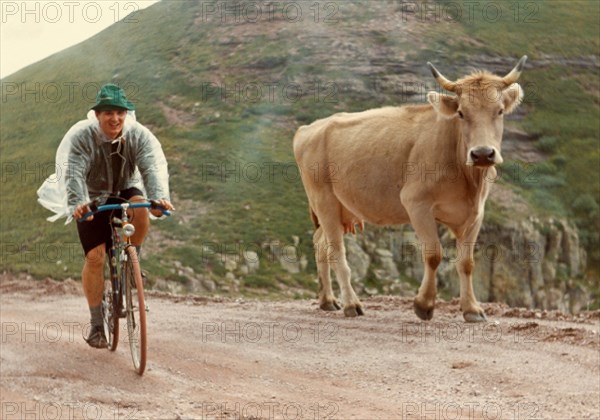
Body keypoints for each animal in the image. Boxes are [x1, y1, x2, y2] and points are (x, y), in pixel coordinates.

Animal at [294, 54, 524, 320]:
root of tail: (309, 128)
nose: (483, 154)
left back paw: (328, 300)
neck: (467, 180)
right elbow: (433, 254)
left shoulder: (476, 213)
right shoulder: (416, 203)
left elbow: (466, 263)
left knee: (320, 244)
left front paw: (472, 309)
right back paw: (351, 304)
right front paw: (424, 305)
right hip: (324, 201)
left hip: (340, 208)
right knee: (335, 251)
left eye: (499, 111)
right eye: (461, 113)